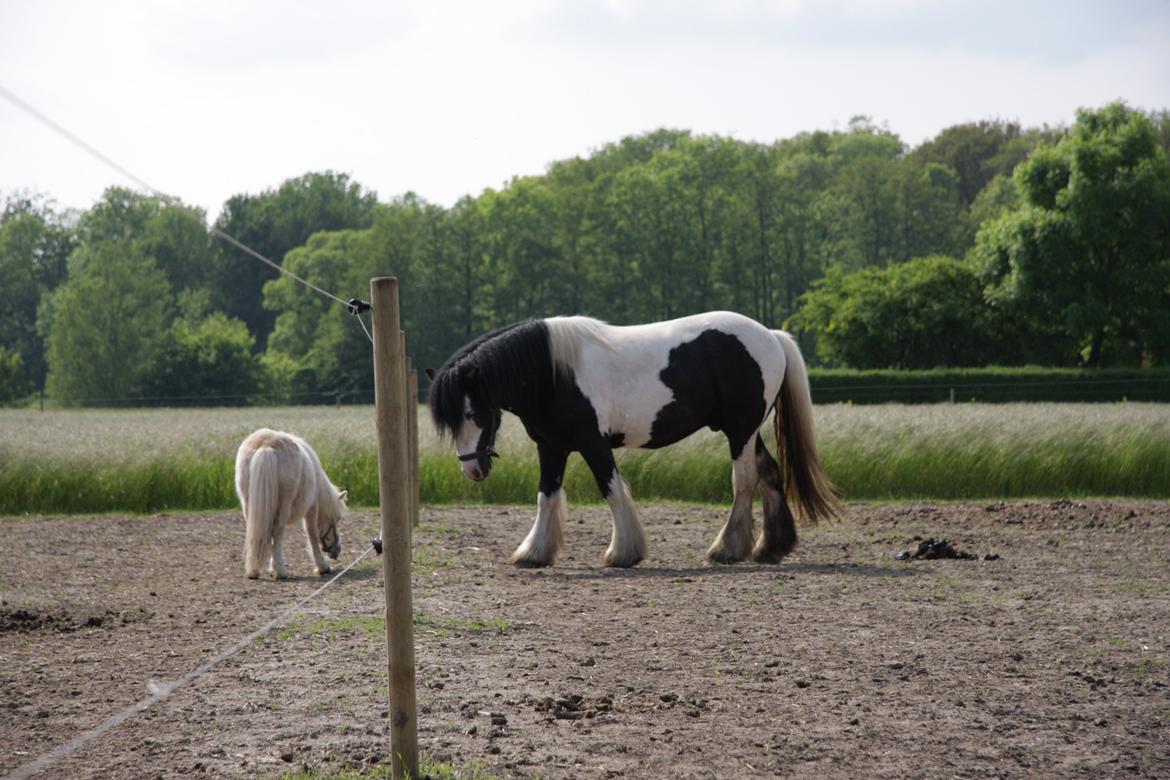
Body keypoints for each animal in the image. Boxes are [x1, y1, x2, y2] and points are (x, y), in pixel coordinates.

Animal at [233, 428, 343, 580]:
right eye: (336, 519)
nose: (336, 550)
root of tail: (266, 445)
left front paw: (271, 569)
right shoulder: (312, 507)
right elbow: (312, 534)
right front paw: (323, 567)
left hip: (249, 504)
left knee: (258, 533)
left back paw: (254, 571)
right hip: (285, 505)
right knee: (277, 532)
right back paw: (281, 572)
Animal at [425, 308, 837, 568]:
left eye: (473, 413)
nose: (473, 470)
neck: (554, 373)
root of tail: (771, 336)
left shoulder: (593, 444)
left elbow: (611, 490)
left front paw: (624, 552)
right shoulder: (552, 447)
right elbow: (546, 496)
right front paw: (534, 554)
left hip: (740, 431)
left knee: (745, 481)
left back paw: (727, 549)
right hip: (748, 432)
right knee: (769, 474)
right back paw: (771, 548)